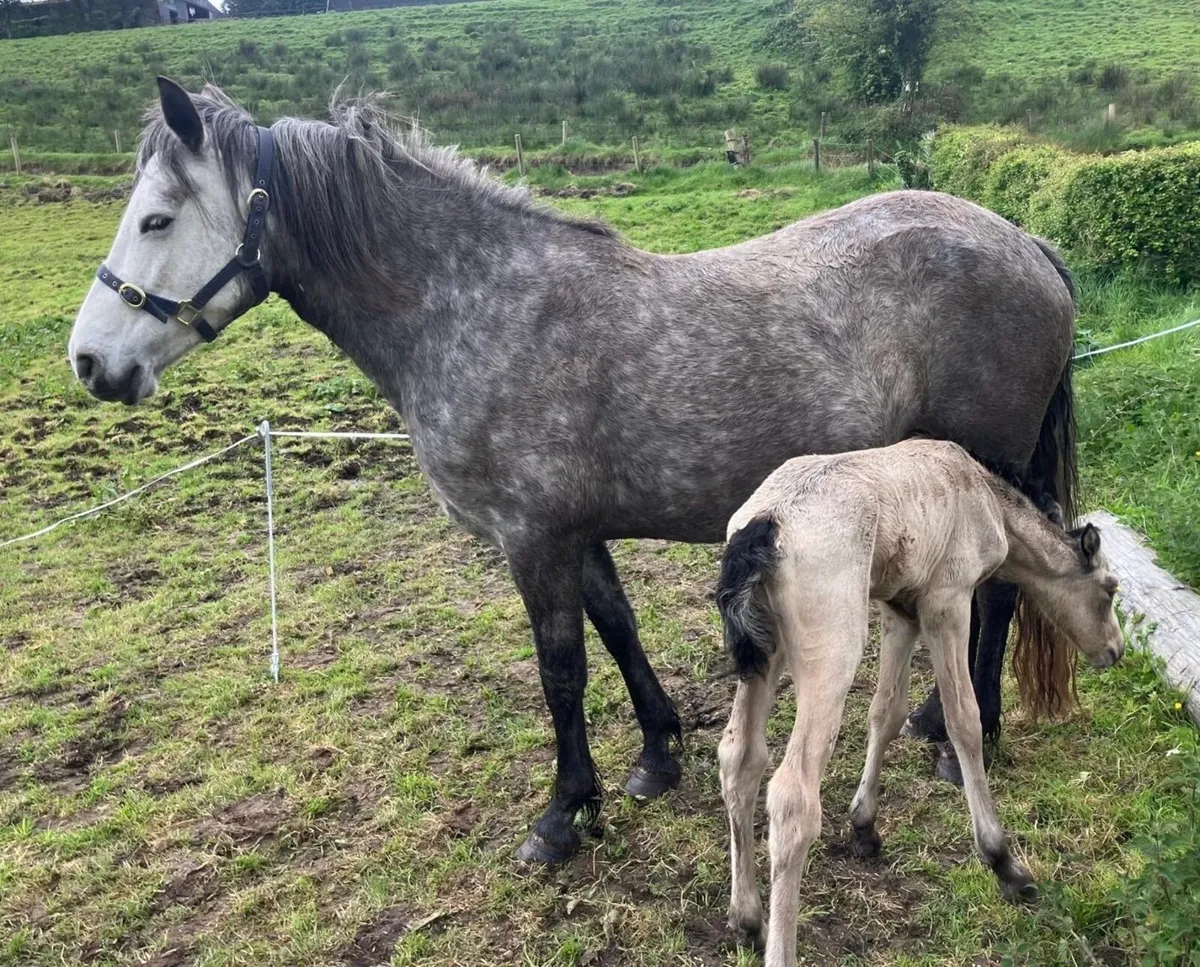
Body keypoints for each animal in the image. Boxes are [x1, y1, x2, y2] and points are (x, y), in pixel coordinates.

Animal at [68, 78, 1079, 864]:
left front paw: (563, 814)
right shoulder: (573, 530)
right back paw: (935, 721)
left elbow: (561, 669)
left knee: (999, 588)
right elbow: (618, 628)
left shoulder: (531, 537)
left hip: (988, 461)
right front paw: (656, 757)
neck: (472, 304)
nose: (89, 363)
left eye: (157, 217)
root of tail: (1026, 242)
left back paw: (964, 735)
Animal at [715, 439, 1122, 967]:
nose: (1114, 650)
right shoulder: (947, 601)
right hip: (833, 651)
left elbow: (885, 712)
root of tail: (765, 524)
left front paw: (865, 825)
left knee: (739, 758)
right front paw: (1003, 861)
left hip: (765, 658)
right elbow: (964, 720)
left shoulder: (900, 609)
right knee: (791, 796)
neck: (984, 496)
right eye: (1110, 590)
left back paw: (747, 918)